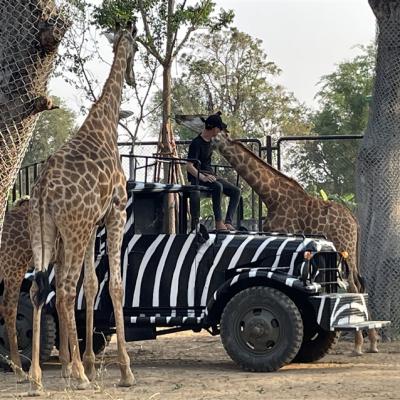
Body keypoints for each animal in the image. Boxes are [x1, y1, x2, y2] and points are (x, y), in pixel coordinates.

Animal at [28, 22, 138, 390]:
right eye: (136, 49)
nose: (132, 77)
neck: (104, 125)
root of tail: (43, 189)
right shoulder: (116, 212)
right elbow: (115, 285)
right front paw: (124, 371)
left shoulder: (93, 224)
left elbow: (90, 286)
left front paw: (90, 361)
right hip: (72, 230)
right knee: (62, 289)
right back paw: (76, 375)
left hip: (47, 231)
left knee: (40, 287)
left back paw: (39, 377)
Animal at [211, 130, 380, 354]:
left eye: (216, 136)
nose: (209, 143)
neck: (271, 196)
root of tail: (354, 220)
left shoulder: (283, 236)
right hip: (351, 252)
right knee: (360, 284)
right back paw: (372, 342)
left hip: (345, 248)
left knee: (353, 285)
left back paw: (358, 345)